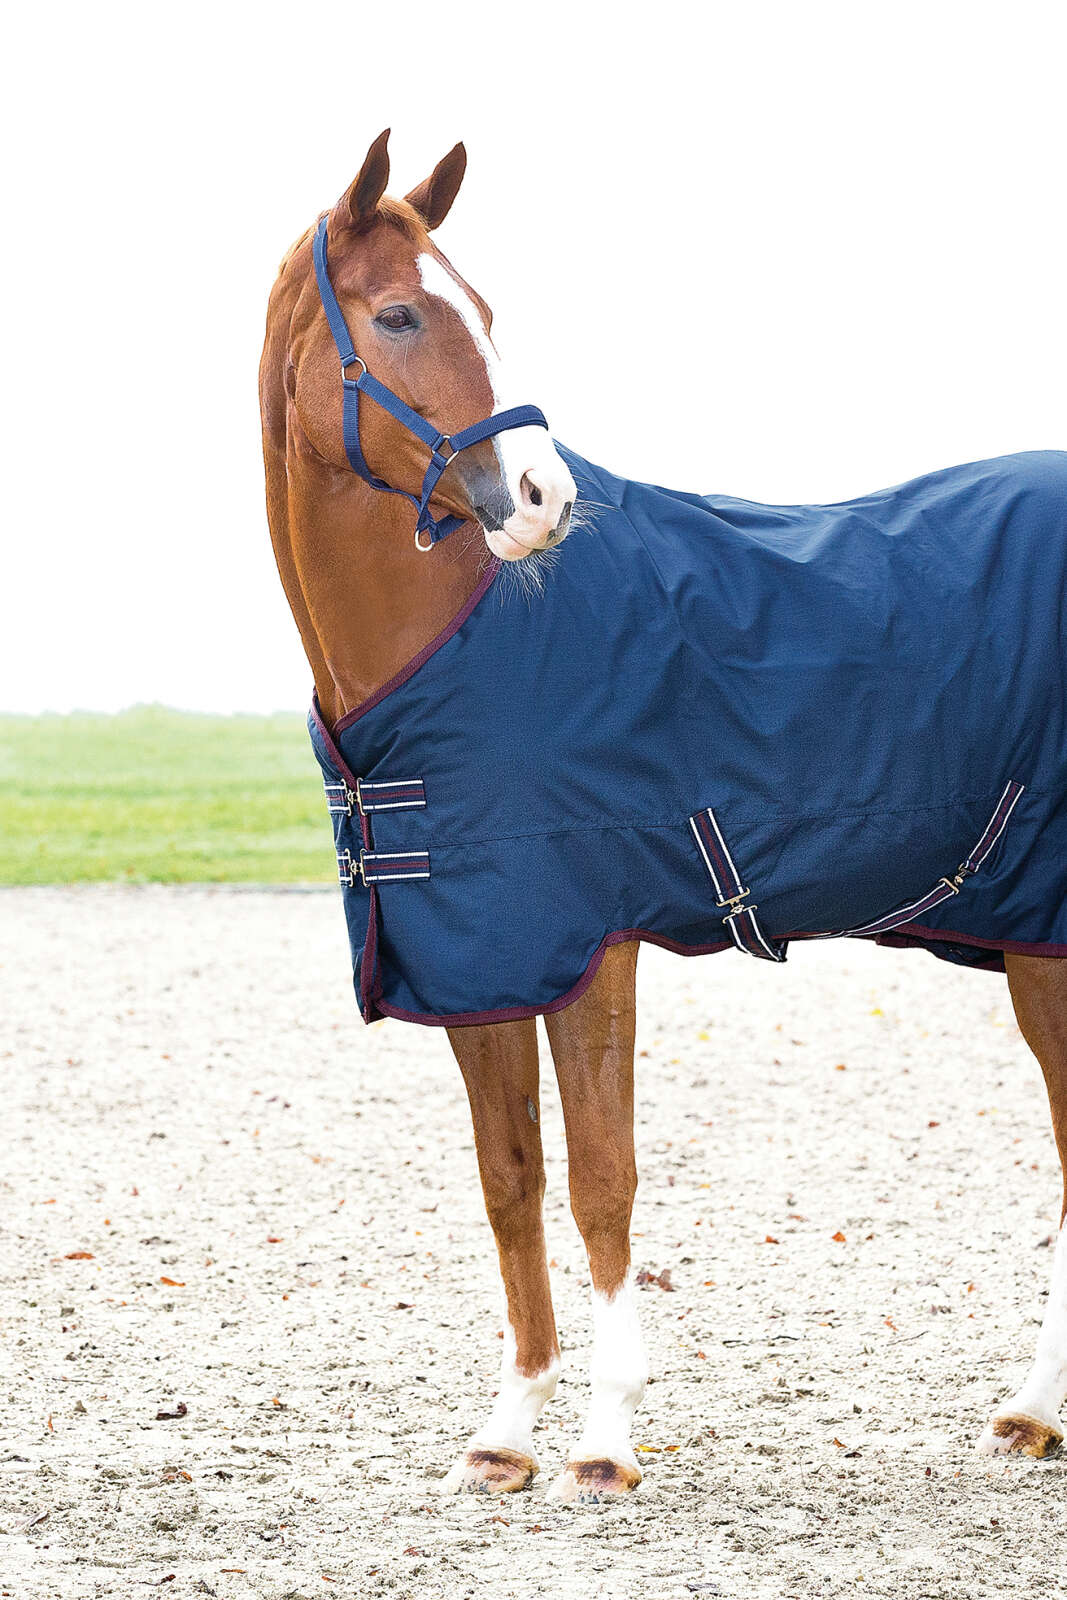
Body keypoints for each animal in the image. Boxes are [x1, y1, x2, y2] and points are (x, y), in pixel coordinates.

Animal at [259, 129, 1067, 1502]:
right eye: (402, 313)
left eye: (483, 309)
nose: (540, 496)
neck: (473, 639)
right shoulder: (476, 959)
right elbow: (509, 1179)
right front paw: (507, 1431)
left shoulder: (593, 943)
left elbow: (601, 1180)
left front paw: (603, 1439)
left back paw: (1027, 1408)